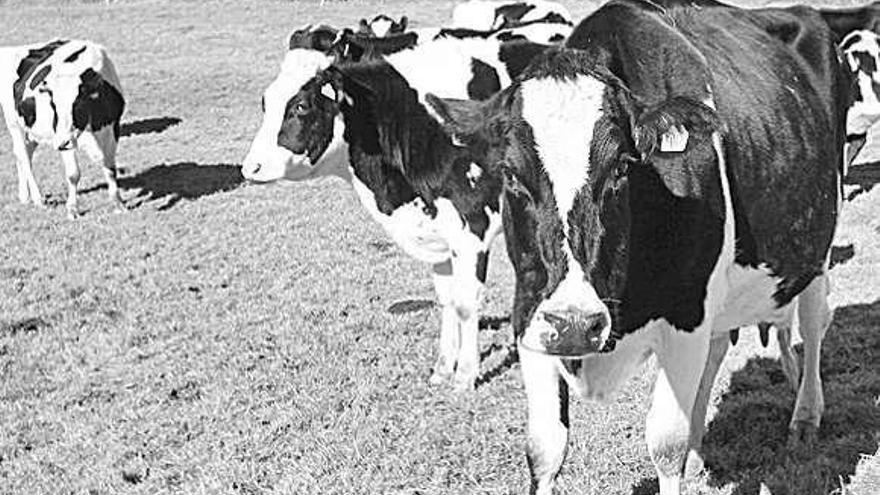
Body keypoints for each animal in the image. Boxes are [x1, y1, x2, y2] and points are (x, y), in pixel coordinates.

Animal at [0, 39, 125, 219]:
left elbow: (110, 167)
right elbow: (73, 174)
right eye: (53, 104)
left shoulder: (112, 127)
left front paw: (117, 202)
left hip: (33, 131)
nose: (60, 143)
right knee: (22, 156)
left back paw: (24, 196)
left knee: (26, 154)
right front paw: (72, 209)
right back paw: (37, 198)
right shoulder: (65, 138)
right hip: (15, 124)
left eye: (78, 103)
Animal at [242, 33, 550, 391]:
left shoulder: (473, 227)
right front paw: (442, 369)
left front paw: (465, 376)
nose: (251, 167)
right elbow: (446, 300)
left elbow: (465, 303)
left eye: (301, 106)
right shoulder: (439, 235)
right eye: (266, 102)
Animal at [426, 0, 856, 492]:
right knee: (719, 347)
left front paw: (681, 449)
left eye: (619, 168)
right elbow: (544, 448)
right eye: (511, 174)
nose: (576, 324)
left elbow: (665, 446)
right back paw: (700, 442)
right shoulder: (530, 312)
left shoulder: (687, 314)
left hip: (818, 249)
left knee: (813, 324)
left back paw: (805, 418)